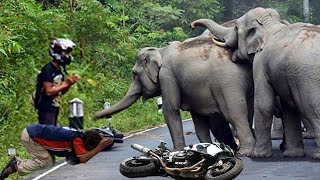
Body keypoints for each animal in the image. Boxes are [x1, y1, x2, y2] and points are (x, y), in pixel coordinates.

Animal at [93, 24, 255, 155]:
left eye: (134, 74)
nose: (93, 117)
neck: (160, 50)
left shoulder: (167, 76)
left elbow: (170, 109)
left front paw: (176, 151)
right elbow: (198, 118)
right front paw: (205, 147)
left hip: (227, 83)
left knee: (234, 113)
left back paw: (244, 152)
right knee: (248, 111)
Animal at [190, 7, 320, 159]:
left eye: (236, 28)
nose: (192, 26)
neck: (268, 24)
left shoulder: (260, 62)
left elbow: (264, 103)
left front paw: (258, 155)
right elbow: (287, 108)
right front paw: (292, 154)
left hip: (306, 77)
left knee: (311, 108)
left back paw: (316, 155)